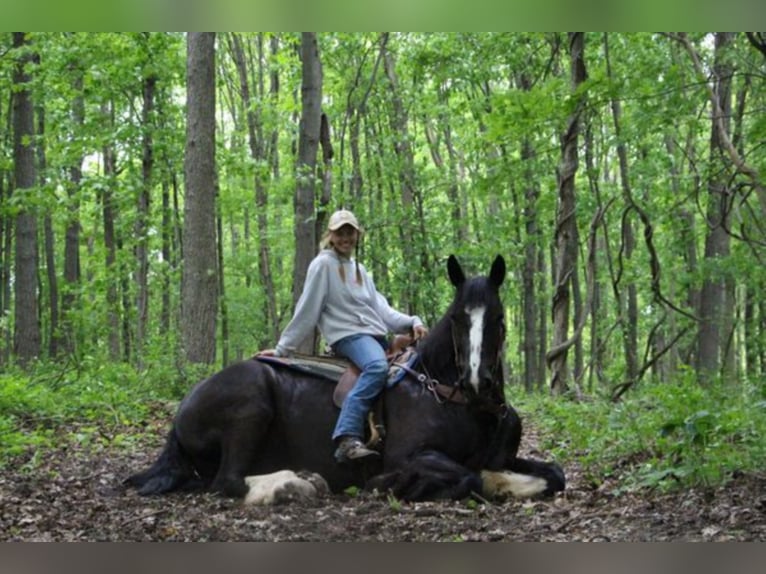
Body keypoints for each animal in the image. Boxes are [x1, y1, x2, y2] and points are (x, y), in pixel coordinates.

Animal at [127, 256, 564, 504]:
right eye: (457, 317)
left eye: (499, 318)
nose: (477, 381)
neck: (449, 396)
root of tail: (183, 409)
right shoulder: (410, 455)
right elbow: (469, 477)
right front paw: (392, 485)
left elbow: (554, 474)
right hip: (251, 403)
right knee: (227, 482)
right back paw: (295, 486)